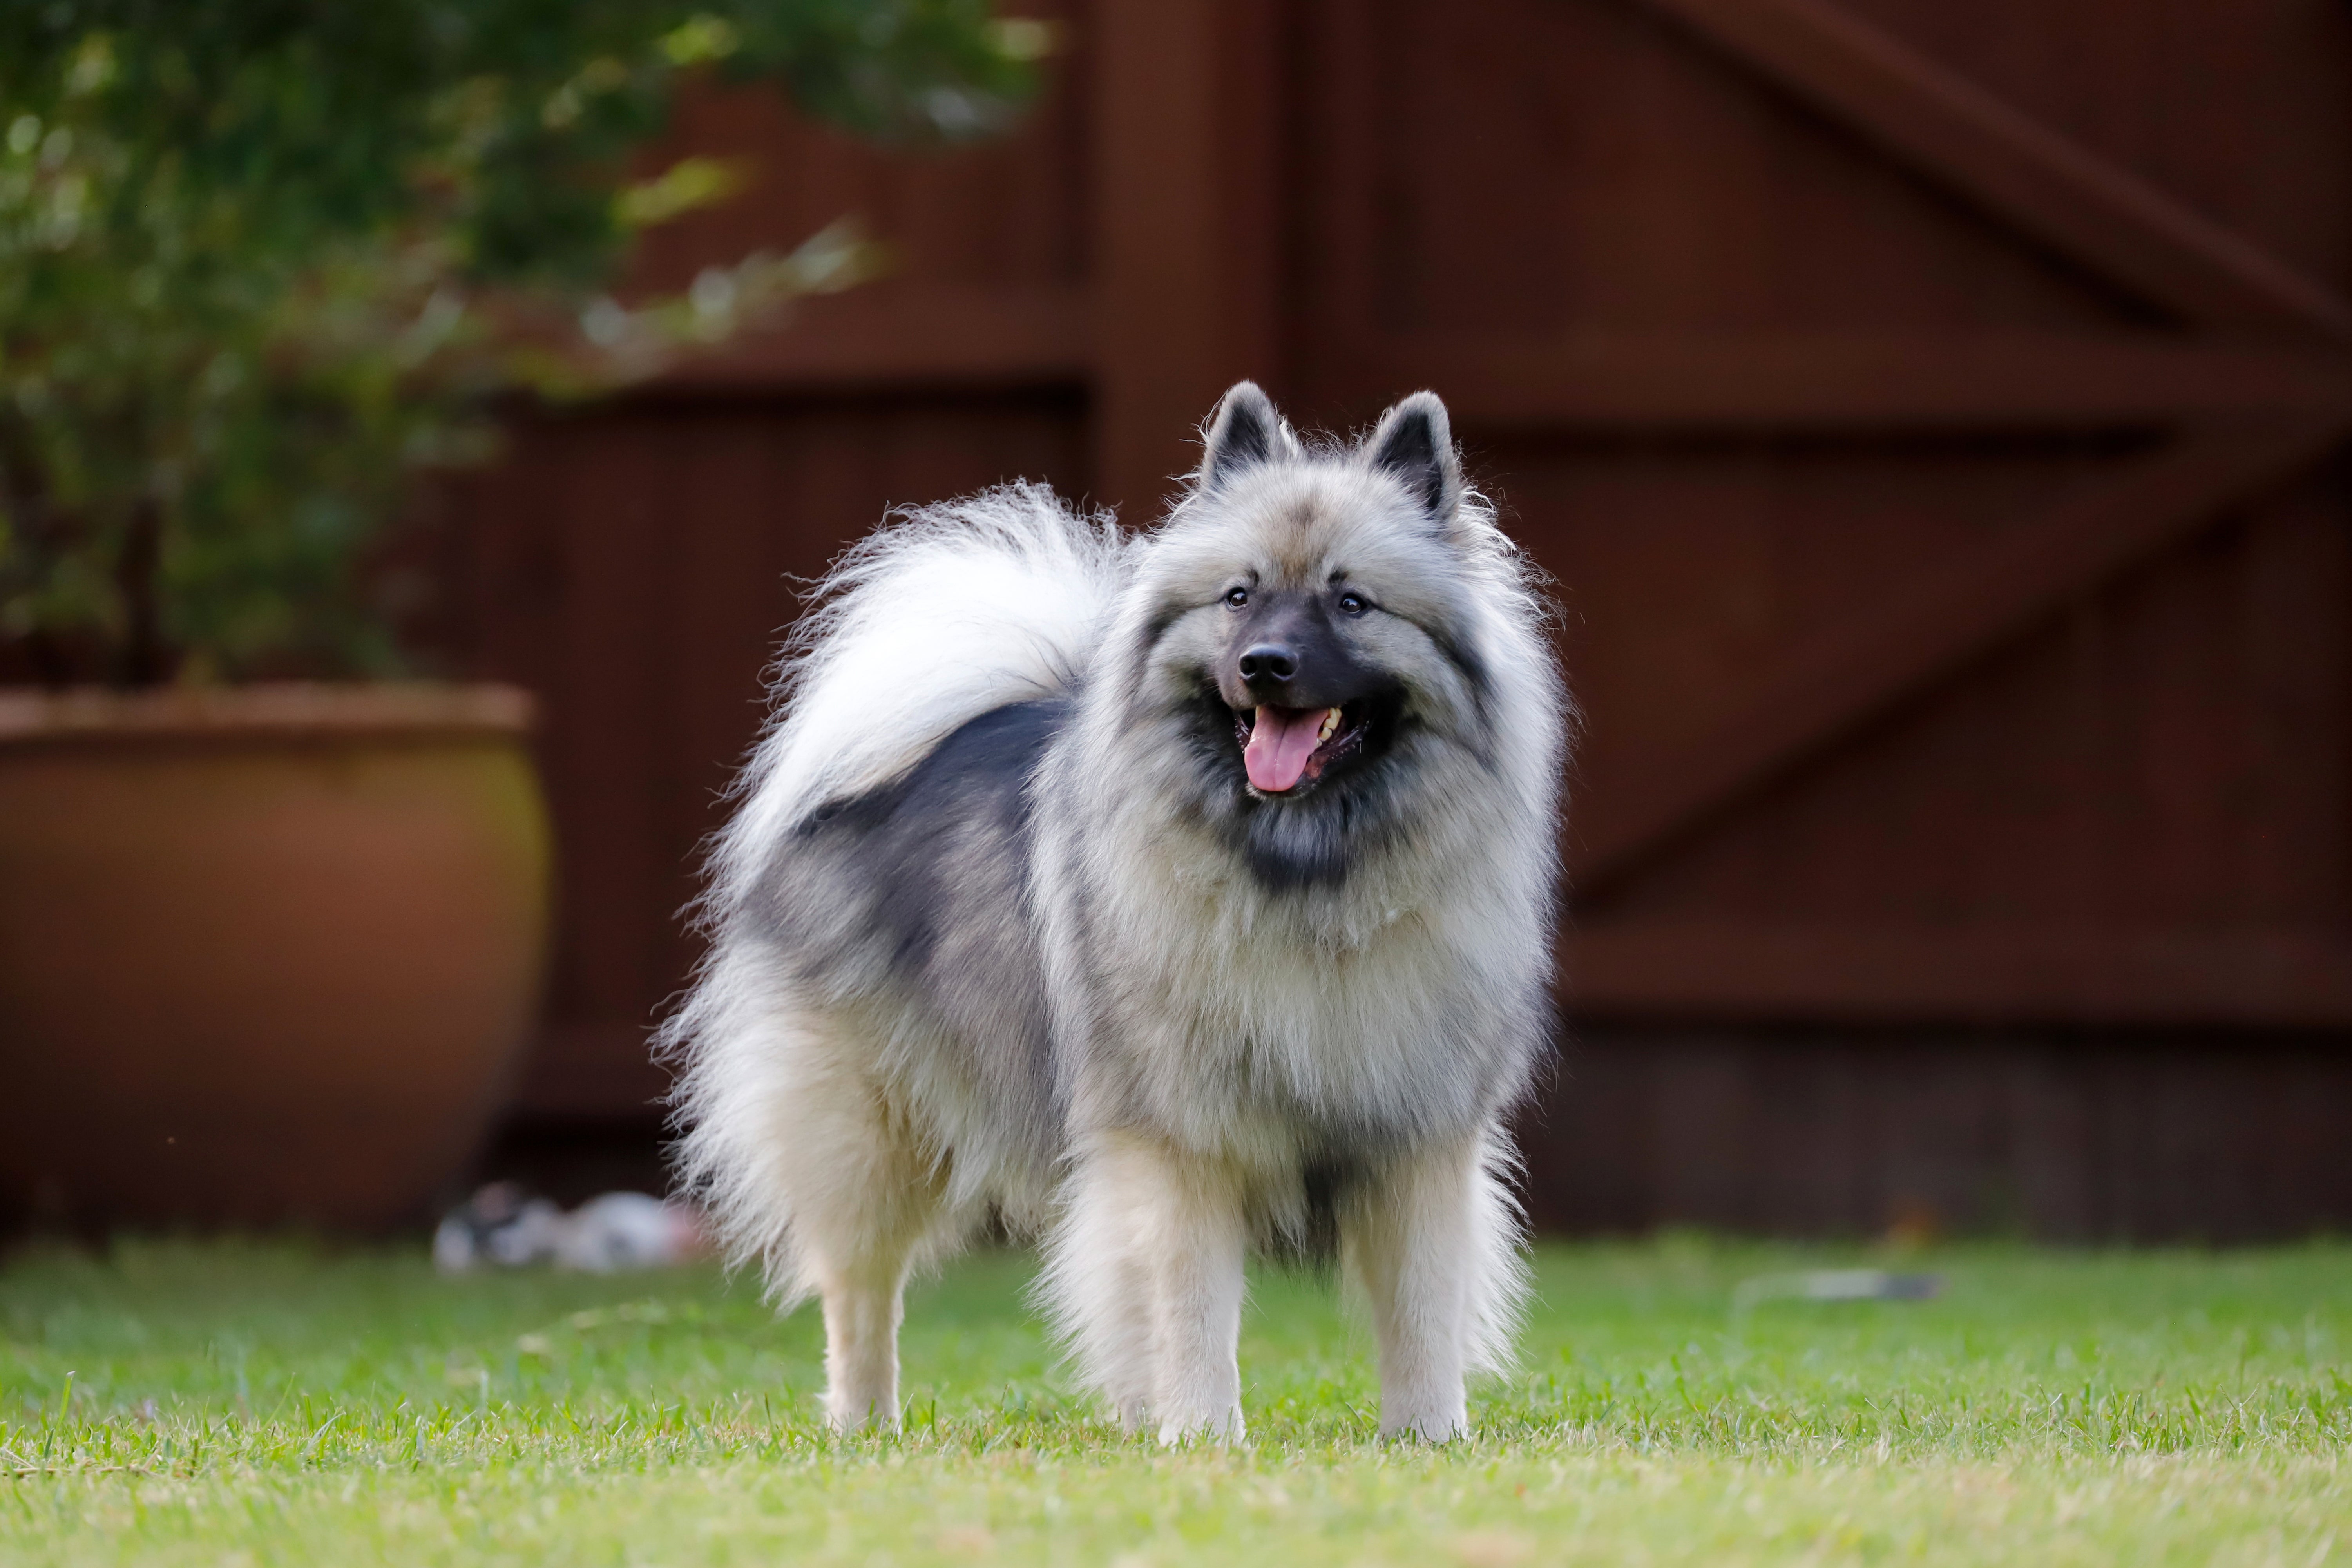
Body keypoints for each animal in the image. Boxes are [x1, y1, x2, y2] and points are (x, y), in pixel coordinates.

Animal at [663, 386, 1571, 1439]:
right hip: (867, 1131)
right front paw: (1206, 1436)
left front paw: (1426, 1438)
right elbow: (1191, 1306)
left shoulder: (1417, 1142)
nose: (1265, 664)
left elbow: (1420, 1307)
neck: (1303, 877)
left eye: (1351, 602)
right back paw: (866, 1426)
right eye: (1238, 596)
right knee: (860, 1293)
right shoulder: (1178, 1142)